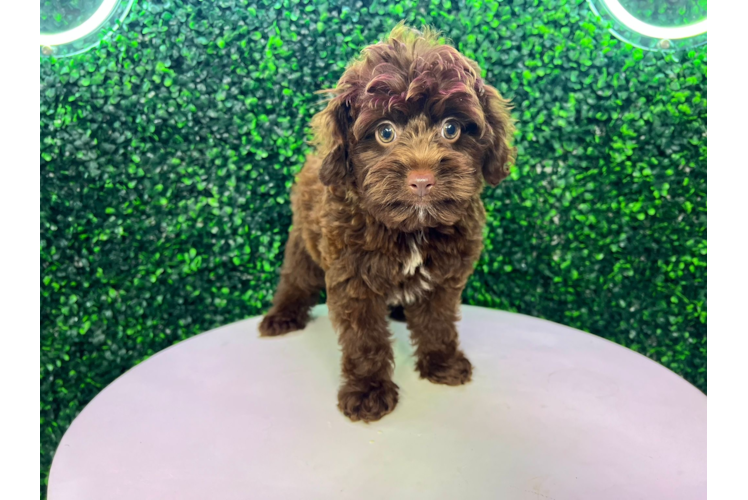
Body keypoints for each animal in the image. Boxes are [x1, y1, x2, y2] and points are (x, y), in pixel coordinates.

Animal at [258, 23, 516, 422]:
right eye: (385, 132)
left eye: (452, 129)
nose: (422, 179)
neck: (411, 229)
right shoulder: (352, 278)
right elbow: (364, 339)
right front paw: (368, 391)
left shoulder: (444, 276)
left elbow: (438, 320)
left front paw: (442, 364)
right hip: (303, 241)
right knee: (295, 278)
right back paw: (281, 317)